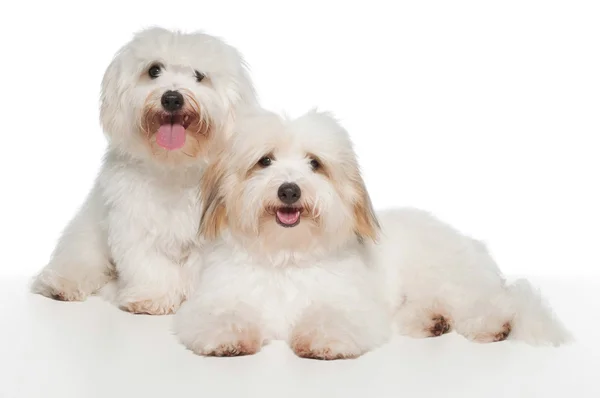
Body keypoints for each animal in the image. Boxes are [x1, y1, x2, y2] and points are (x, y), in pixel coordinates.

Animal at [31, 26, 258, 316]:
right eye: (153, 70)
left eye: (199, 76)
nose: (172, 98)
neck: (174, 166)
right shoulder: (134, 222)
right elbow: (149, 264)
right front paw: (152, 297)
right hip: (88, 232)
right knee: (80, 258)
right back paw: (60, 284)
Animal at [173, 109, 572, 360]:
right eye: (264, 161)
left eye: (315, 163)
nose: (289, 190)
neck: (286, 256)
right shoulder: (216, 299)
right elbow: (220, 315)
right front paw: (227, 337)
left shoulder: (351, 305)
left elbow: (332, 317)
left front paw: (323, 339)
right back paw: (432, 322)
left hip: (448, 278)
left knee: (489, 303)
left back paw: (495, 325)